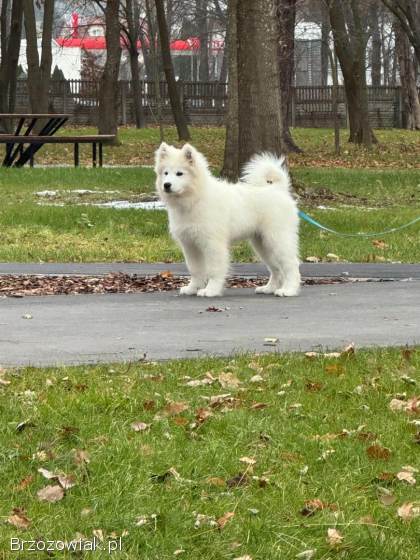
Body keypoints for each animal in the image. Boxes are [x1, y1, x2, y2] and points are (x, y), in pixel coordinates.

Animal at [156, 143, 300, 298]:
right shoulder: (189, 244)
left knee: (291, 265)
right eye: (165, 173)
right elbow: (195, 270)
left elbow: (214, 269)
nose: (166, 185)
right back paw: (269, 288)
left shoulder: (213, 244)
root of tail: (279, 189)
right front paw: (192, 288)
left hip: (277, 239)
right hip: (262, 244)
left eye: (179, 173)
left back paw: (288, 290)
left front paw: (211, 290)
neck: (195, 199)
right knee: (275, 268)